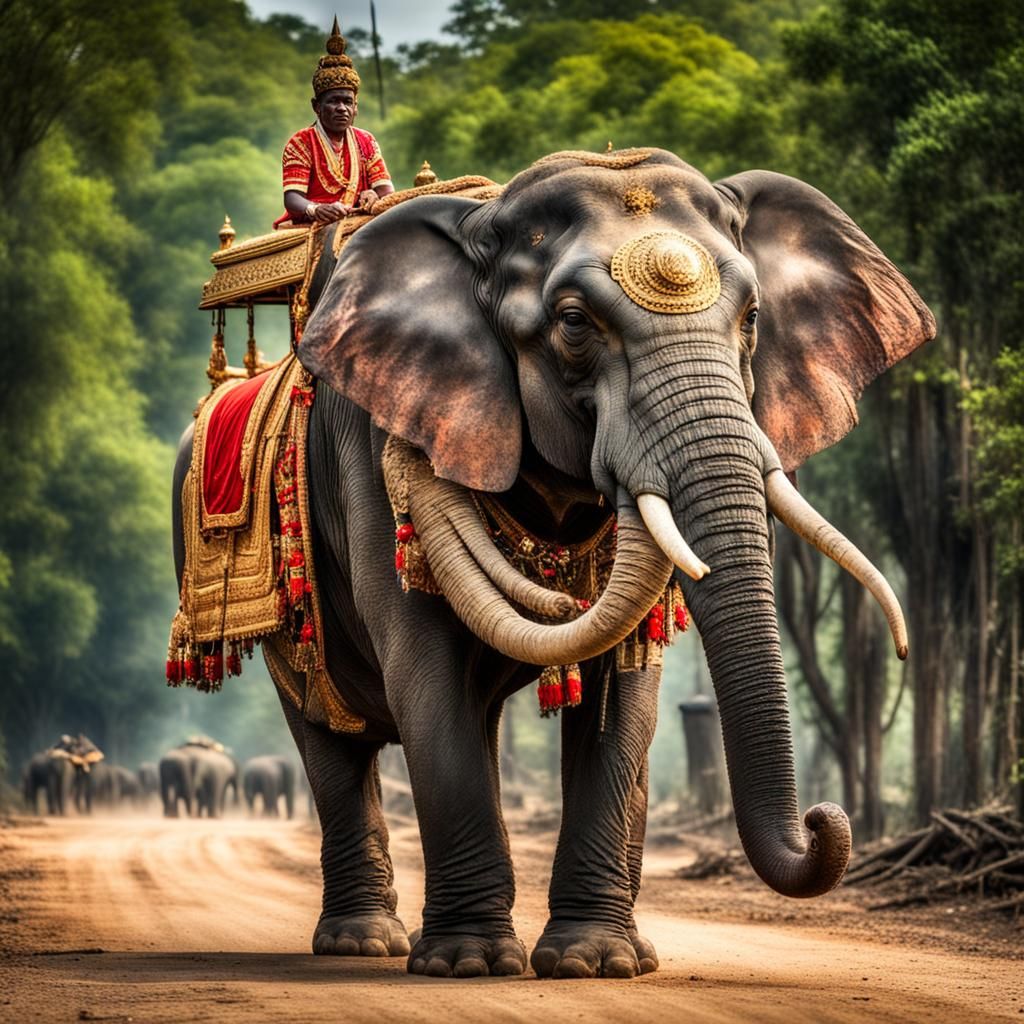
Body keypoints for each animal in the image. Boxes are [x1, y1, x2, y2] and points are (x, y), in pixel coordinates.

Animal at [172, 147, 934, 978]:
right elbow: (422, 668)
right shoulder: (374, 450)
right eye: (573, 324)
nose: (826, 820)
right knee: (327, 726)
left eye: (754, 319)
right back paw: (361, 944)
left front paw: (598, 963)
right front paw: (468, 964)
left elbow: (626, 687)